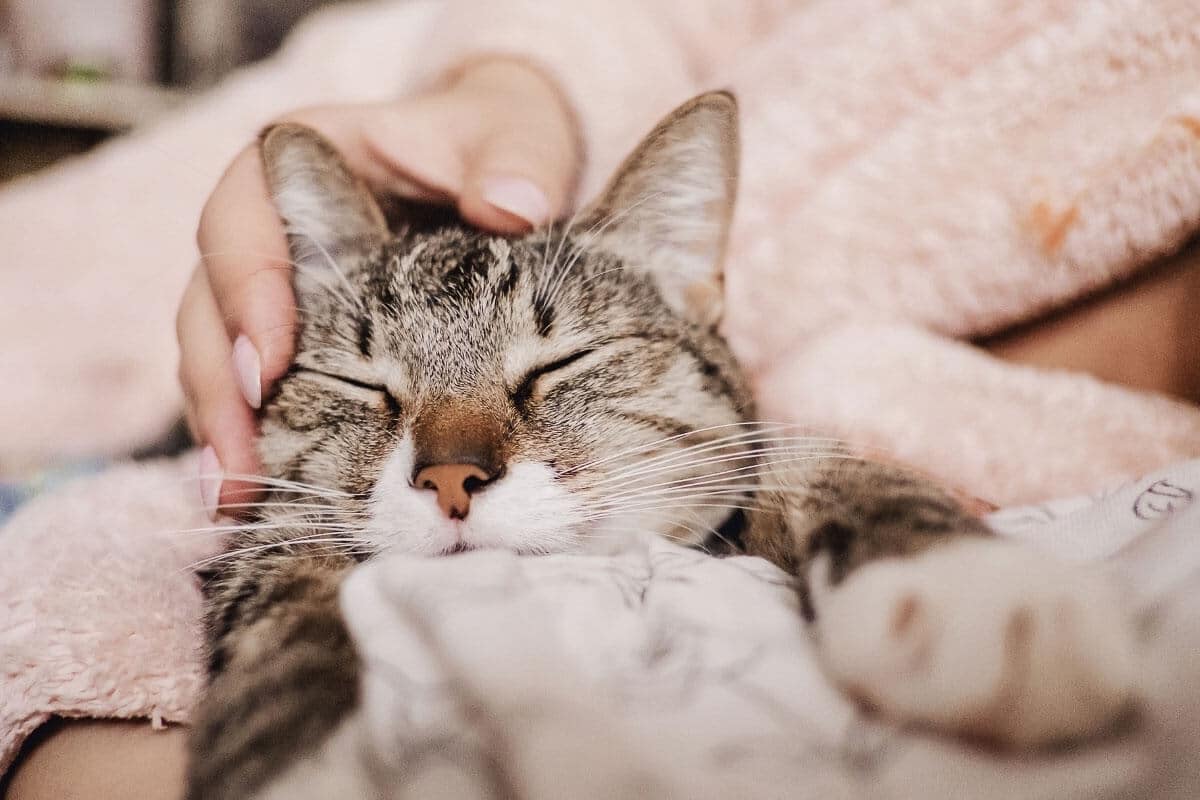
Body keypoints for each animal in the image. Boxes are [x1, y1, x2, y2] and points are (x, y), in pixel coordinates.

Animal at [184, 90, 1132, 796]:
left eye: (561, 364)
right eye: (363, 385)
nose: (452, 477)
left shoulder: (745, 465)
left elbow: (830, 467)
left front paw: (972, 585)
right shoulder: (263, 540)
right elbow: (289, 622)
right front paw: (305, 762)